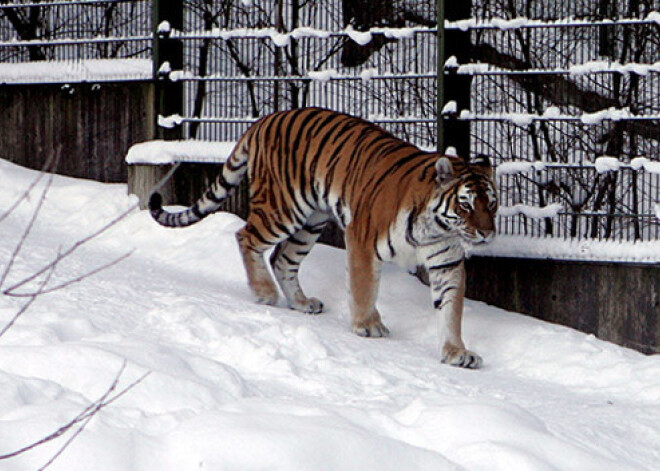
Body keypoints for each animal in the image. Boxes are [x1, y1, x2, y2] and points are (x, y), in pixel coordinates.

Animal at [148, 107, 496, 368]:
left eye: (491, 203)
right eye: (465, 204)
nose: (487, 233)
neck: (436, 226)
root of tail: (264, 120)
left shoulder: (446, 263)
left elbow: (451, 310)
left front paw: (457, 352)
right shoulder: (362, 240)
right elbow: (364, 288)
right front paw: (367, 325)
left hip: (311, 221)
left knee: (282, 258)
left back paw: (301, 302)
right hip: (283, 208)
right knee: (246, 236)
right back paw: (264, 292)